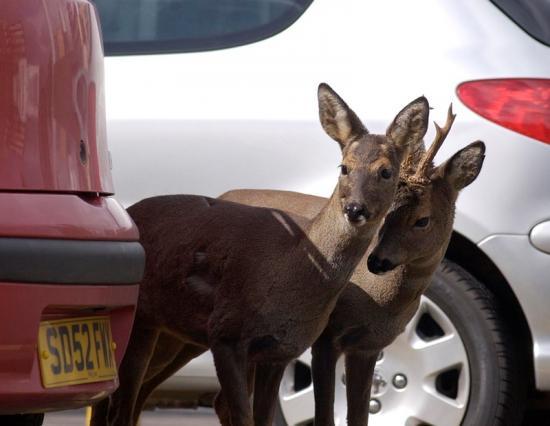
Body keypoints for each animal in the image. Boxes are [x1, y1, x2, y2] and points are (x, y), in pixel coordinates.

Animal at [90, 84, 432, 426]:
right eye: (344, 167)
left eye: (386, 172)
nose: (355, 209)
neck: (289, 268)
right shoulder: (225, 333)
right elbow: (243, 416)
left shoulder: (280, 351)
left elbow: (263, 418)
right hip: (145, 322)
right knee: (119, 403)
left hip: (163, 329)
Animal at [216, 105, 488, 424]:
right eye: (388, 212)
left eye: (422, 220)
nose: (377, 260)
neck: (383, 302)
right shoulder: (327, 336)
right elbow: (325, 415)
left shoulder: (368, 346)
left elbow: (359, 416)